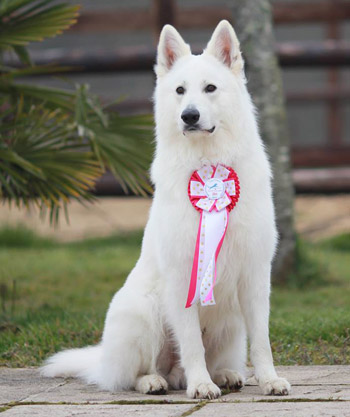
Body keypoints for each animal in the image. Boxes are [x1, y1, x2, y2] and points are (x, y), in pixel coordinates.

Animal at [42, 21, 292, 398]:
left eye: (210, 88)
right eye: (179, 90)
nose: (189, 115)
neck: (208, 162)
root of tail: (102, 362)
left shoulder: (254, 276)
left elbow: (262, 341)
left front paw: (268, 380)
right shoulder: (181, 277)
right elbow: (191, 343)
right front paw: (200, 384)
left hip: (231, 324)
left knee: (212, 360)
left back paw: (225, 375)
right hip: (146, 313)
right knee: (136, 374)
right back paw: (156, 381)